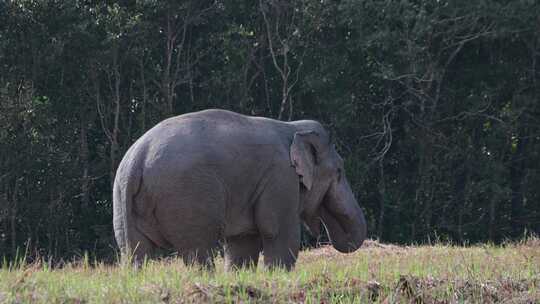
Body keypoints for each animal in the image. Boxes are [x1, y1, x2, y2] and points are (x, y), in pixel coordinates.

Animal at [113, 108, 368, 270]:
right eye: (339, 171)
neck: (292, 127)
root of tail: (137, 158)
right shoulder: (280, 178)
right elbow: (279, 234)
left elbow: (242, 243)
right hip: (185, 199)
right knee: (197, 250)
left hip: (122, 202)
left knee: (135, 253)